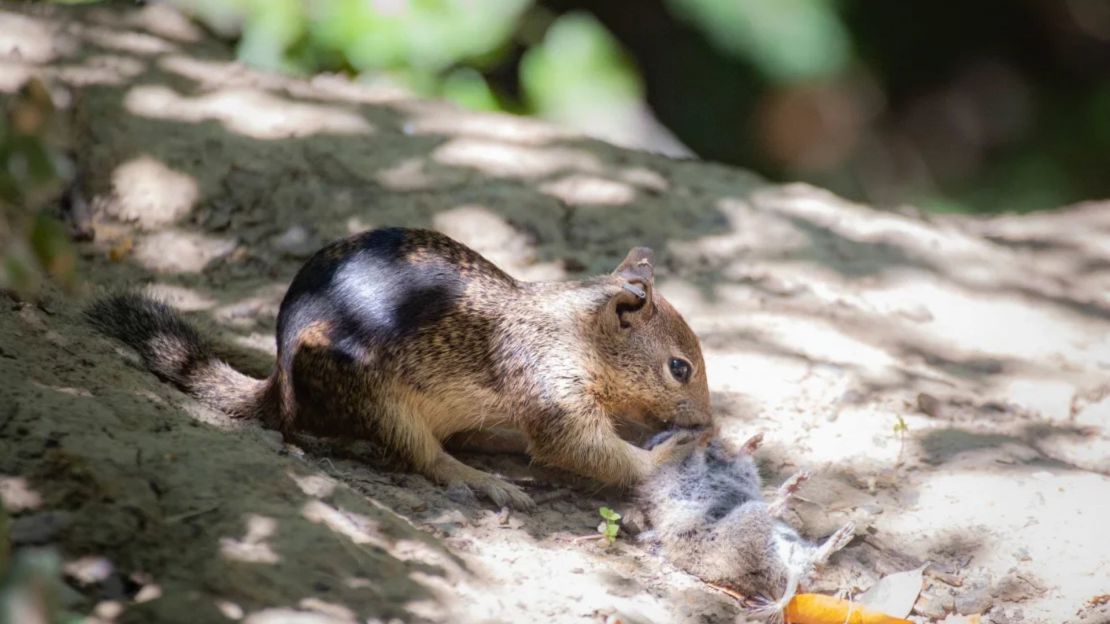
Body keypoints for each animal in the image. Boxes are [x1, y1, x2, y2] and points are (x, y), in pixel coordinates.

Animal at [84, 225, 710, 508]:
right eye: (680, 368)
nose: (708, 423)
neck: (573, 332)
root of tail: (279, 389)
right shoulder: (550, 383)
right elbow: (579, 445)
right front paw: (669, 455)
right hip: (377, 401)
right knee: (425, 458)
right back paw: (485, 480)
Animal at [639, 426, 852, 612]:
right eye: (660, 438)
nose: (688, 430)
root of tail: (793, 570)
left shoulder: (739, 474)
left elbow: (743, 463)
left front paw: (752, 441)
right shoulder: (689, 475)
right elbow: (701, 455)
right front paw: (708, 438)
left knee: (815, 558)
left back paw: (842, 533)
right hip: (748, 518)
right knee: (770, 512)